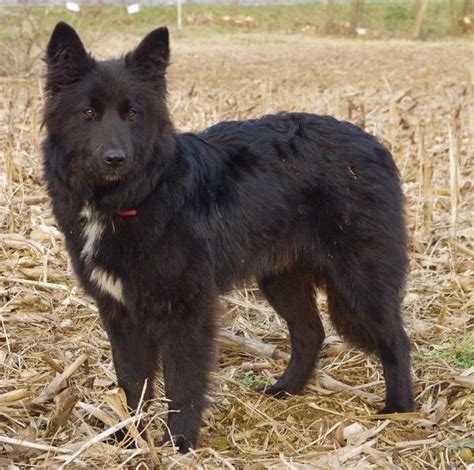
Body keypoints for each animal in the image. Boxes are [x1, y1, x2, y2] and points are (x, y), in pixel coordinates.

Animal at [42, 23, 412, 454]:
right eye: (88, 113)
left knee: (396, 340)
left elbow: (183, 385)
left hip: (359, 281)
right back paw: (287, 389)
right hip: (281, 278)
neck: (134, 198)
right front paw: (129, 440)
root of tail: (376, 144)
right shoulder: (119, 310)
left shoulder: (187, 312)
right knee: (311, 333)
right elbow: (132, 383)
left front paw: (179, 443)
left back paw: (401, 409)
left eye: (132, 113)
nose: (115, 159)